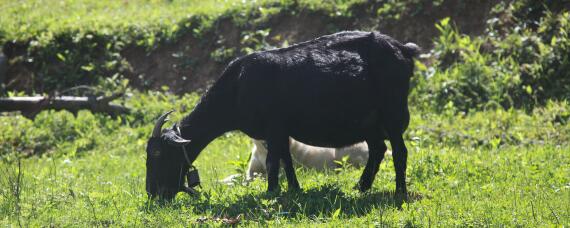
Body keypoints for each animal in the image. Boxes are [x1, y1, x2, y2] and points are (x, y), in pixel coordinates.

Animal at [144, 30, 420, 200]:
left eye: (157, 153)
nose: (152, 193)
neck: (237, 86)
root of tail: (403, 49)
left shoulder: (274, 127)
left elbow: (273, 162)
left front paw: (271, 191)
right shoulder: (278, 130)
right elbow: (286, 159)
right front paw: (294, 189)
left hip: (392, 111)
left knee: (399, 151)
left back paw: (400, 192)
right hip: (368, 120)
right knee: (378, 148)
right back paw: (360, 187)